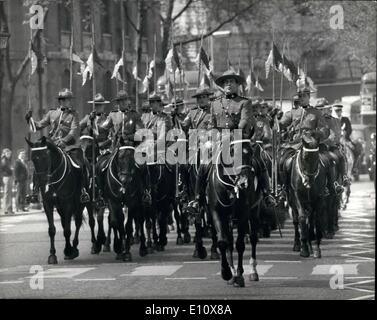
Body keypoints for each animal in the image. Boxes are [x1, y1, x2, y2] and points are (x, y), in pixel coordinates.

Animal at [25, 136, 85, 264]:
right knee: (64, 222)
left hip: (82, 204)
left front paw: (68, 251)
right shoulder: (48, 204)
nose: (42, 182)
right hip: (60, 208)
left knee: (77, 223)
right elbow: (52, 230)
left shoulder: (67, 204)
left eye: (45, 156)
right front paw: (52, 255)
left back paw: (74, 248)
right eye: (33, 159)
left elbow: (67, 230)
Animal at [206, 139, 262, 286]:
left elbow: (240, 244)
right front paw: (226, 273)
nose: (245, 182)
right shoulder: (217, 212)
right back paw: (232, 273)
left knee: (253, 238)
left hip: (254, 211)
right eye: (232, 153)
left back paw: (253, 271)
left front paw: (240, 275)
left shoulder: (244, 213)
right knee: (229, 242)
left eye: (251, 152)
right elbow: (223, 242)